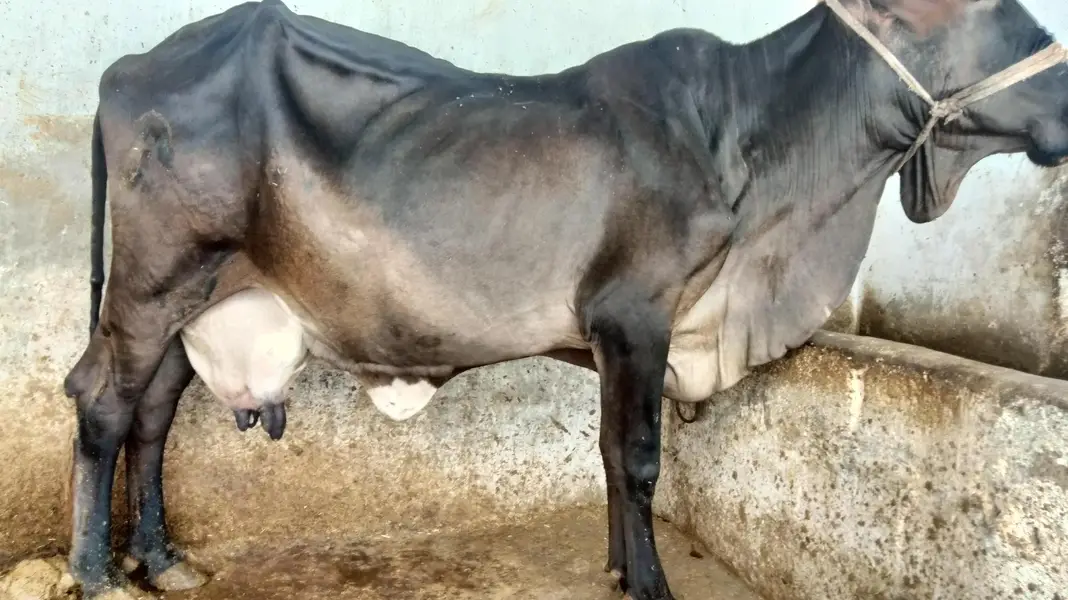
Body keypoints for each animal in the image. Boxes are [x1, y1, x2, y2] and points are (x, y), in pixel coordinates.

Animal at [60, 0, 1067, 598]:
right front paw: (652, 584)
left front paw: (621, 569)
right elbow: (640, 459)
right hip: (153, 285)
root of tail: (128, 67)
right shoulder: (635, 314)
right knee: (103, 404)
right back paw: (95, 570)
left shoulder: (613, 337)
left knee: (153, 417)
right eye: (1000, 13)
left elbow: (610, 456)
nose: (1066, 103)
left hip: (195, 302)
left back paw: (161, 558)